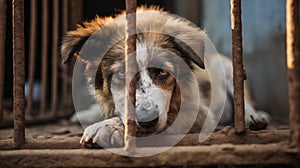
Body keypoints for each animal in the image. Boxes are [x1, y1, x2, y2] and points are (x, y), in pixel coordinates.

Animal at [62, 6, 268, 148]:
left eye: (162, 72)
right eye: (122, 73)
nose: (147, 119)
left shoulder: (198, 114)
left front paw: (107, 127)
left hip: (227, 67)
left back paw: (253, 117)